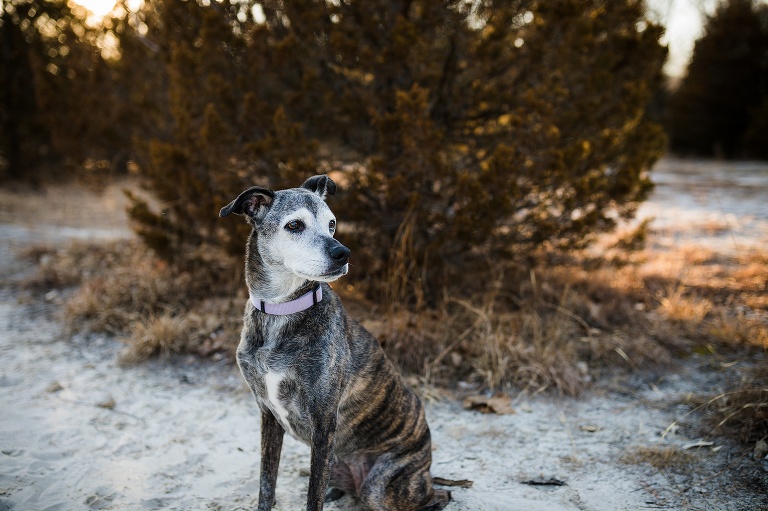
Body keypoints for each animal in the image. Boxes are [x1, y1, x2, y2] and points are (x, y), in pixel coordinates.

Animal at [219, 174, 450, 510]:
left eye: (331, 224)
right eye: (294, 225)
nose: (344, 254)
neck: (281, 311)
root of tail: (428, 467)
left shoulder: (323, 423)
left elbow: (312, 495)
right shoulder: (268, 414)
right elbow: (266, 482)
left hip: (382, 485)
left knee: (438, 495)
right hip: (338, 464)